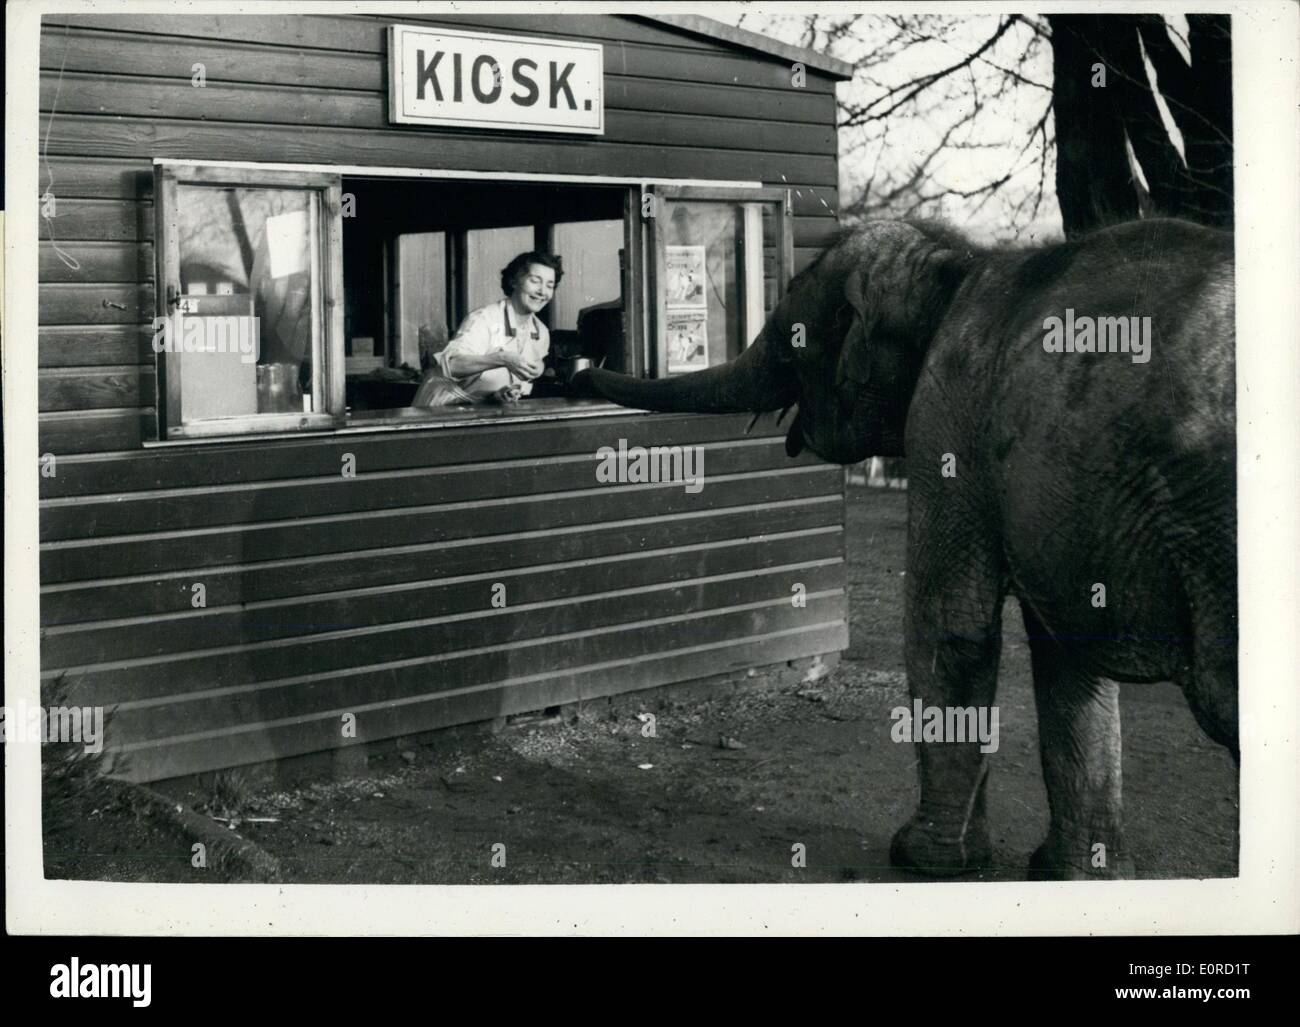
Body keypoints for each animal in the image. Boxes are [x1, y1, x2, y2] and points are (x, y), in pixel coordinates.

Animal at [582, 220, 1237, 878]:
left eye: (792, 336)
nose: (578, 366)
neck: (953, 264)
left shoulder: (946, 422)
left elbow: (952, 624)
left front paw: (923, 858)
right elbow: (1065, 650)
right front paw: (1073, 872)